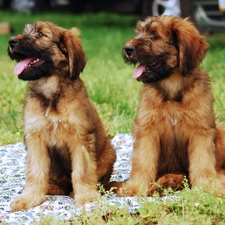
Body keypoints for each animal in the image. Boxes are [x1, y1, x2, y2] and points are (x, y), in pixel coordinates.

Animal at [7, 21, 116, 211]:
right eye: (25, 31)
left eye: (41, 34)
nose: (11, 41)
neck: (51, 94)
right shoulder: (35, 138)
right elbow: (35, 171)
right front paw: (30, 198)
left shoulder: (80, 138)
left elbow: (82, 171)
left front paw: (86, 197)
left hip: (109, 154)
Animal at [113, 14, 225, 196]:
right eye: (139, 32)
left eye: (155, 36)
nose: (127, 49)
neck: (172, 88)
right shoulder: (147, 130)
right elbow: (143, 162)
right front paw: (135, 187)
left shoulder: (201, 132)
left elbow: (202, 163)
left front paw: (207, 188)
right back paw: (167, 182)